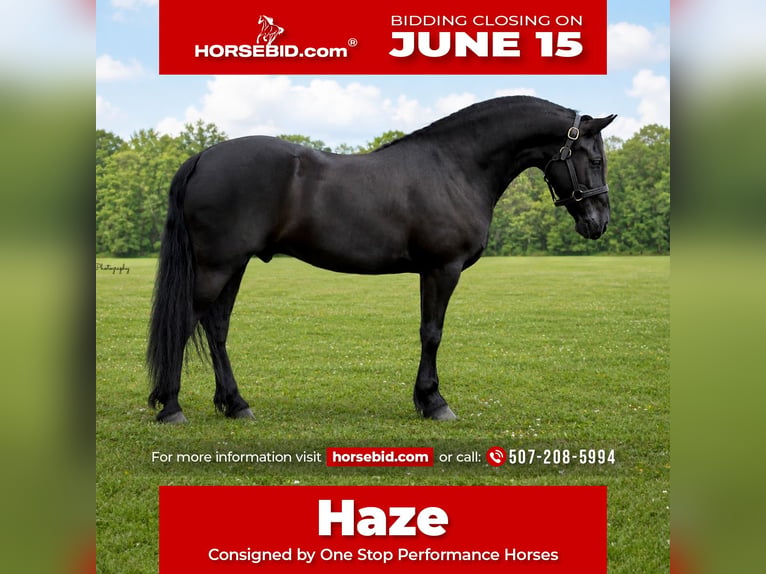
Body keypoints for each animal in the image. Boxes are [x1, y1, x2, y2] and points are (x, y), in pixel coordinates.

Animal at [146, 96, 616, 423]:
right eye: (594, 159)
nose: (599, 222)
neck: (454, 167)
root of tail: (203, 157)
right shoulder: (441, 269)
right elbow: (432, 333)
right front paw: (434, 402)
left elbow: (428, 332)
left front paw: (425, 400)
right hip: (216, 266)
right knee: (187, 322)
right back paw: (171, 407)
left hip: (233, 265)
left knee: (216, 329)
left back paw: (235, 404)